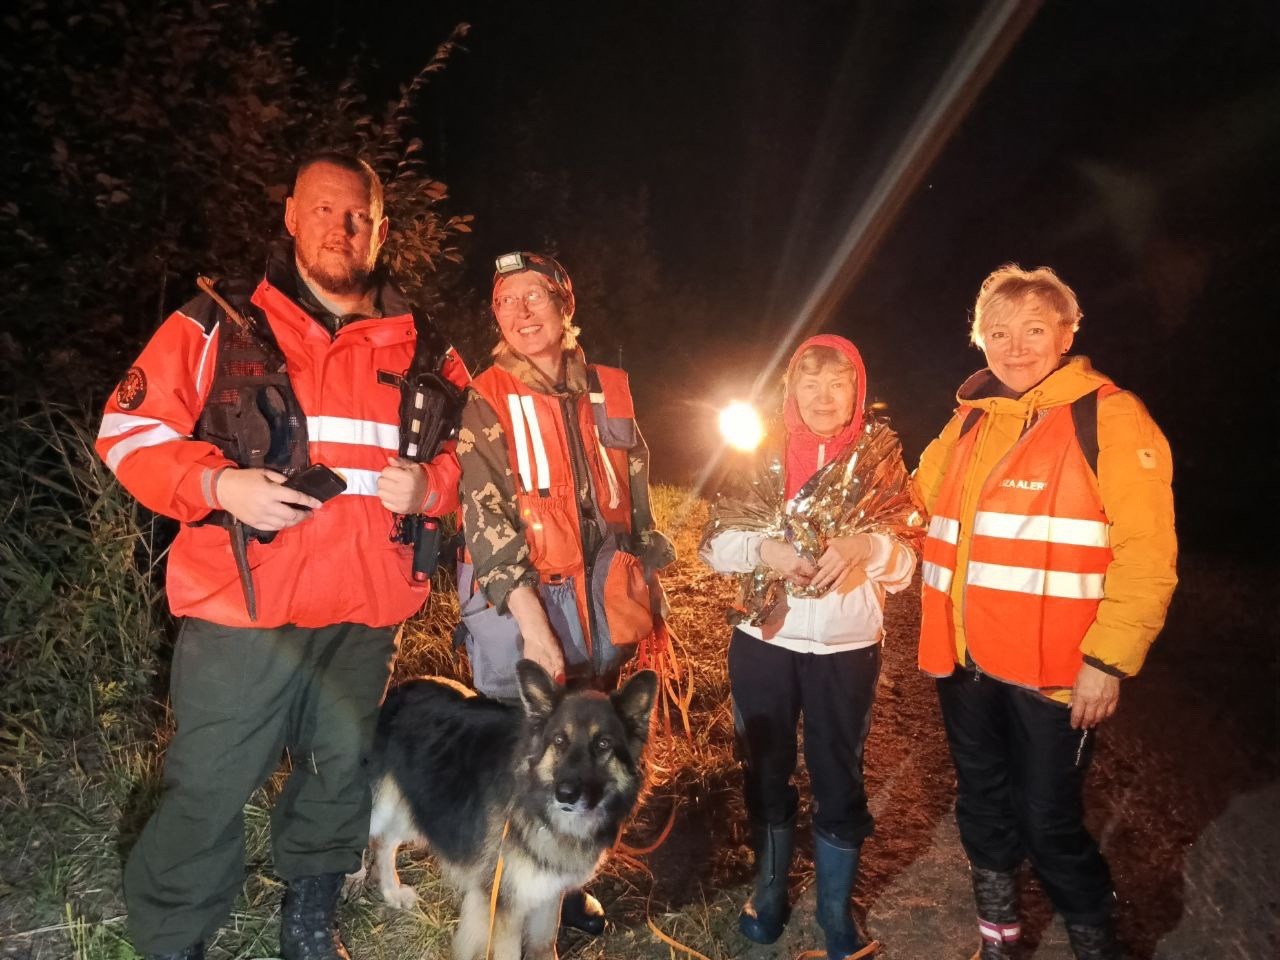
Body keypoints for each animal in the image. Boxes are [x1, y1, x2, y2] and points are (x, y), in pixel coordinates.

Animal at [360, 660, 660, 960]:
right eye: (559, 740)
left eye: (603, 744)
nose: (565, 794)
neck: (536, 806)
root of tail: (397, 689)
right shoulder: (505, 906)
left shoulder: (548, 894)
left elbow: (544, 944)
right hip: (384, 806)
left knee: (384, 843)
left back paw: (392, 892)